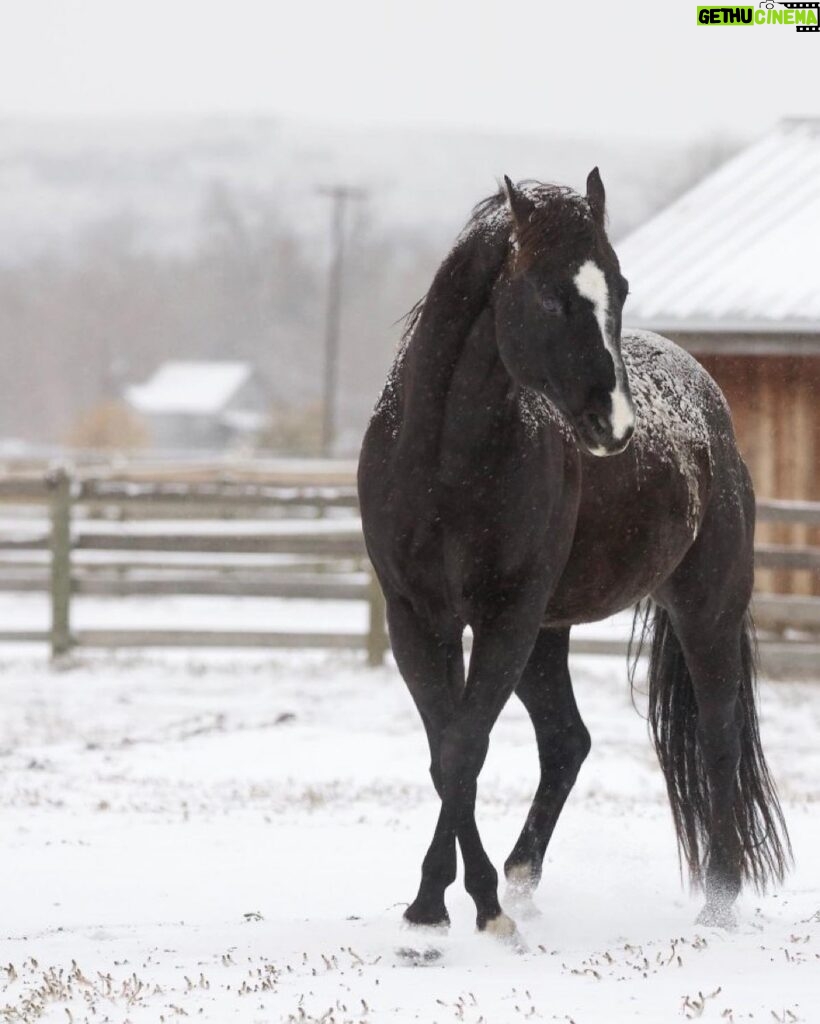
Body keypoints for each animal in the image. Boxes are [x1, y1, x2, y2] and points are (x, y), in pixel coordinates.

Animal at [354, 169, 790, 942]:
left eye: (619, 285)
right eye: (549, 296)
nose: (612, 426)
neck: (444, 464)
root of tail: (712, 411)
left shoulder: (505, 618)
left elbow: (466, 747)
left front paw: (454, 906)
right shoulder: (419, 618)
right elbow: (447, 754)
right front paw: (454, 906)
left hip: (701, 610)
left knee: (718, 739)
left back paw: (717, 902)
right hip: (547, 637)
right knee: (568, 742)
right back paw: (523, 879)